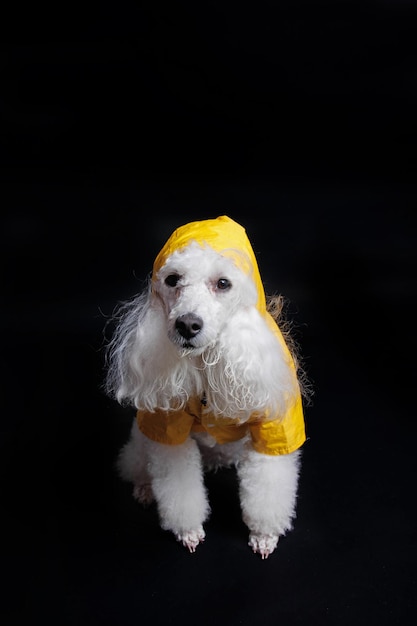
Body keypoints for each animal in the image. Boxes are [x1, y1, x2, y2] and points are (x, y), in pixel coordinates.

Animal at [104, 214, 306, 556]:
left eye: (223, 283)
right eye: (173, 280)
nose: (187, 324)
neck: (207, 360)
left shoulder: (274, 425)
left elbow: (268, 484)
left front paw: (264, 534)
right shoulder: (168, 427)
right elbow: (179, 487)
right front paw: (188, 530)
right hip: (142, 436)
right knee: (136, 462)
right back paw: (144, 488)